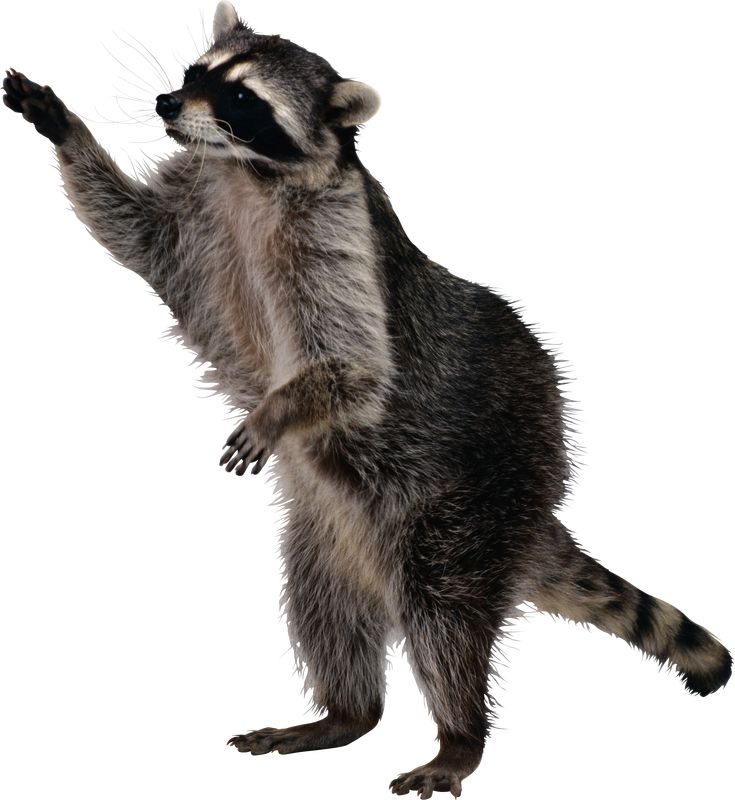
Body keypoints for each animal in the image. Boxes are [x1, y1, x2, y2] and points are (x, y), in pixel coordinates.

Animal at [3, 2, 731, 797]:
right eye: (197, 74)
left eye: (241, 99)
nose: (166, 102)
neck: (244, 174)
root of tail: (533, 518)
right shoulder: (194, 215)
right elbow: (126, 228)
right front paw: (64, 127)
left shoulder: (337, 237)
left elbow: (356, 365)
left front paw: (280, 409)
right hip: (331, 529)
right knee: (325, 603)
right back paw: (346, 713)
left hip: (473, 494)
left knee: (443, 612)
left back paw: (459, 735)